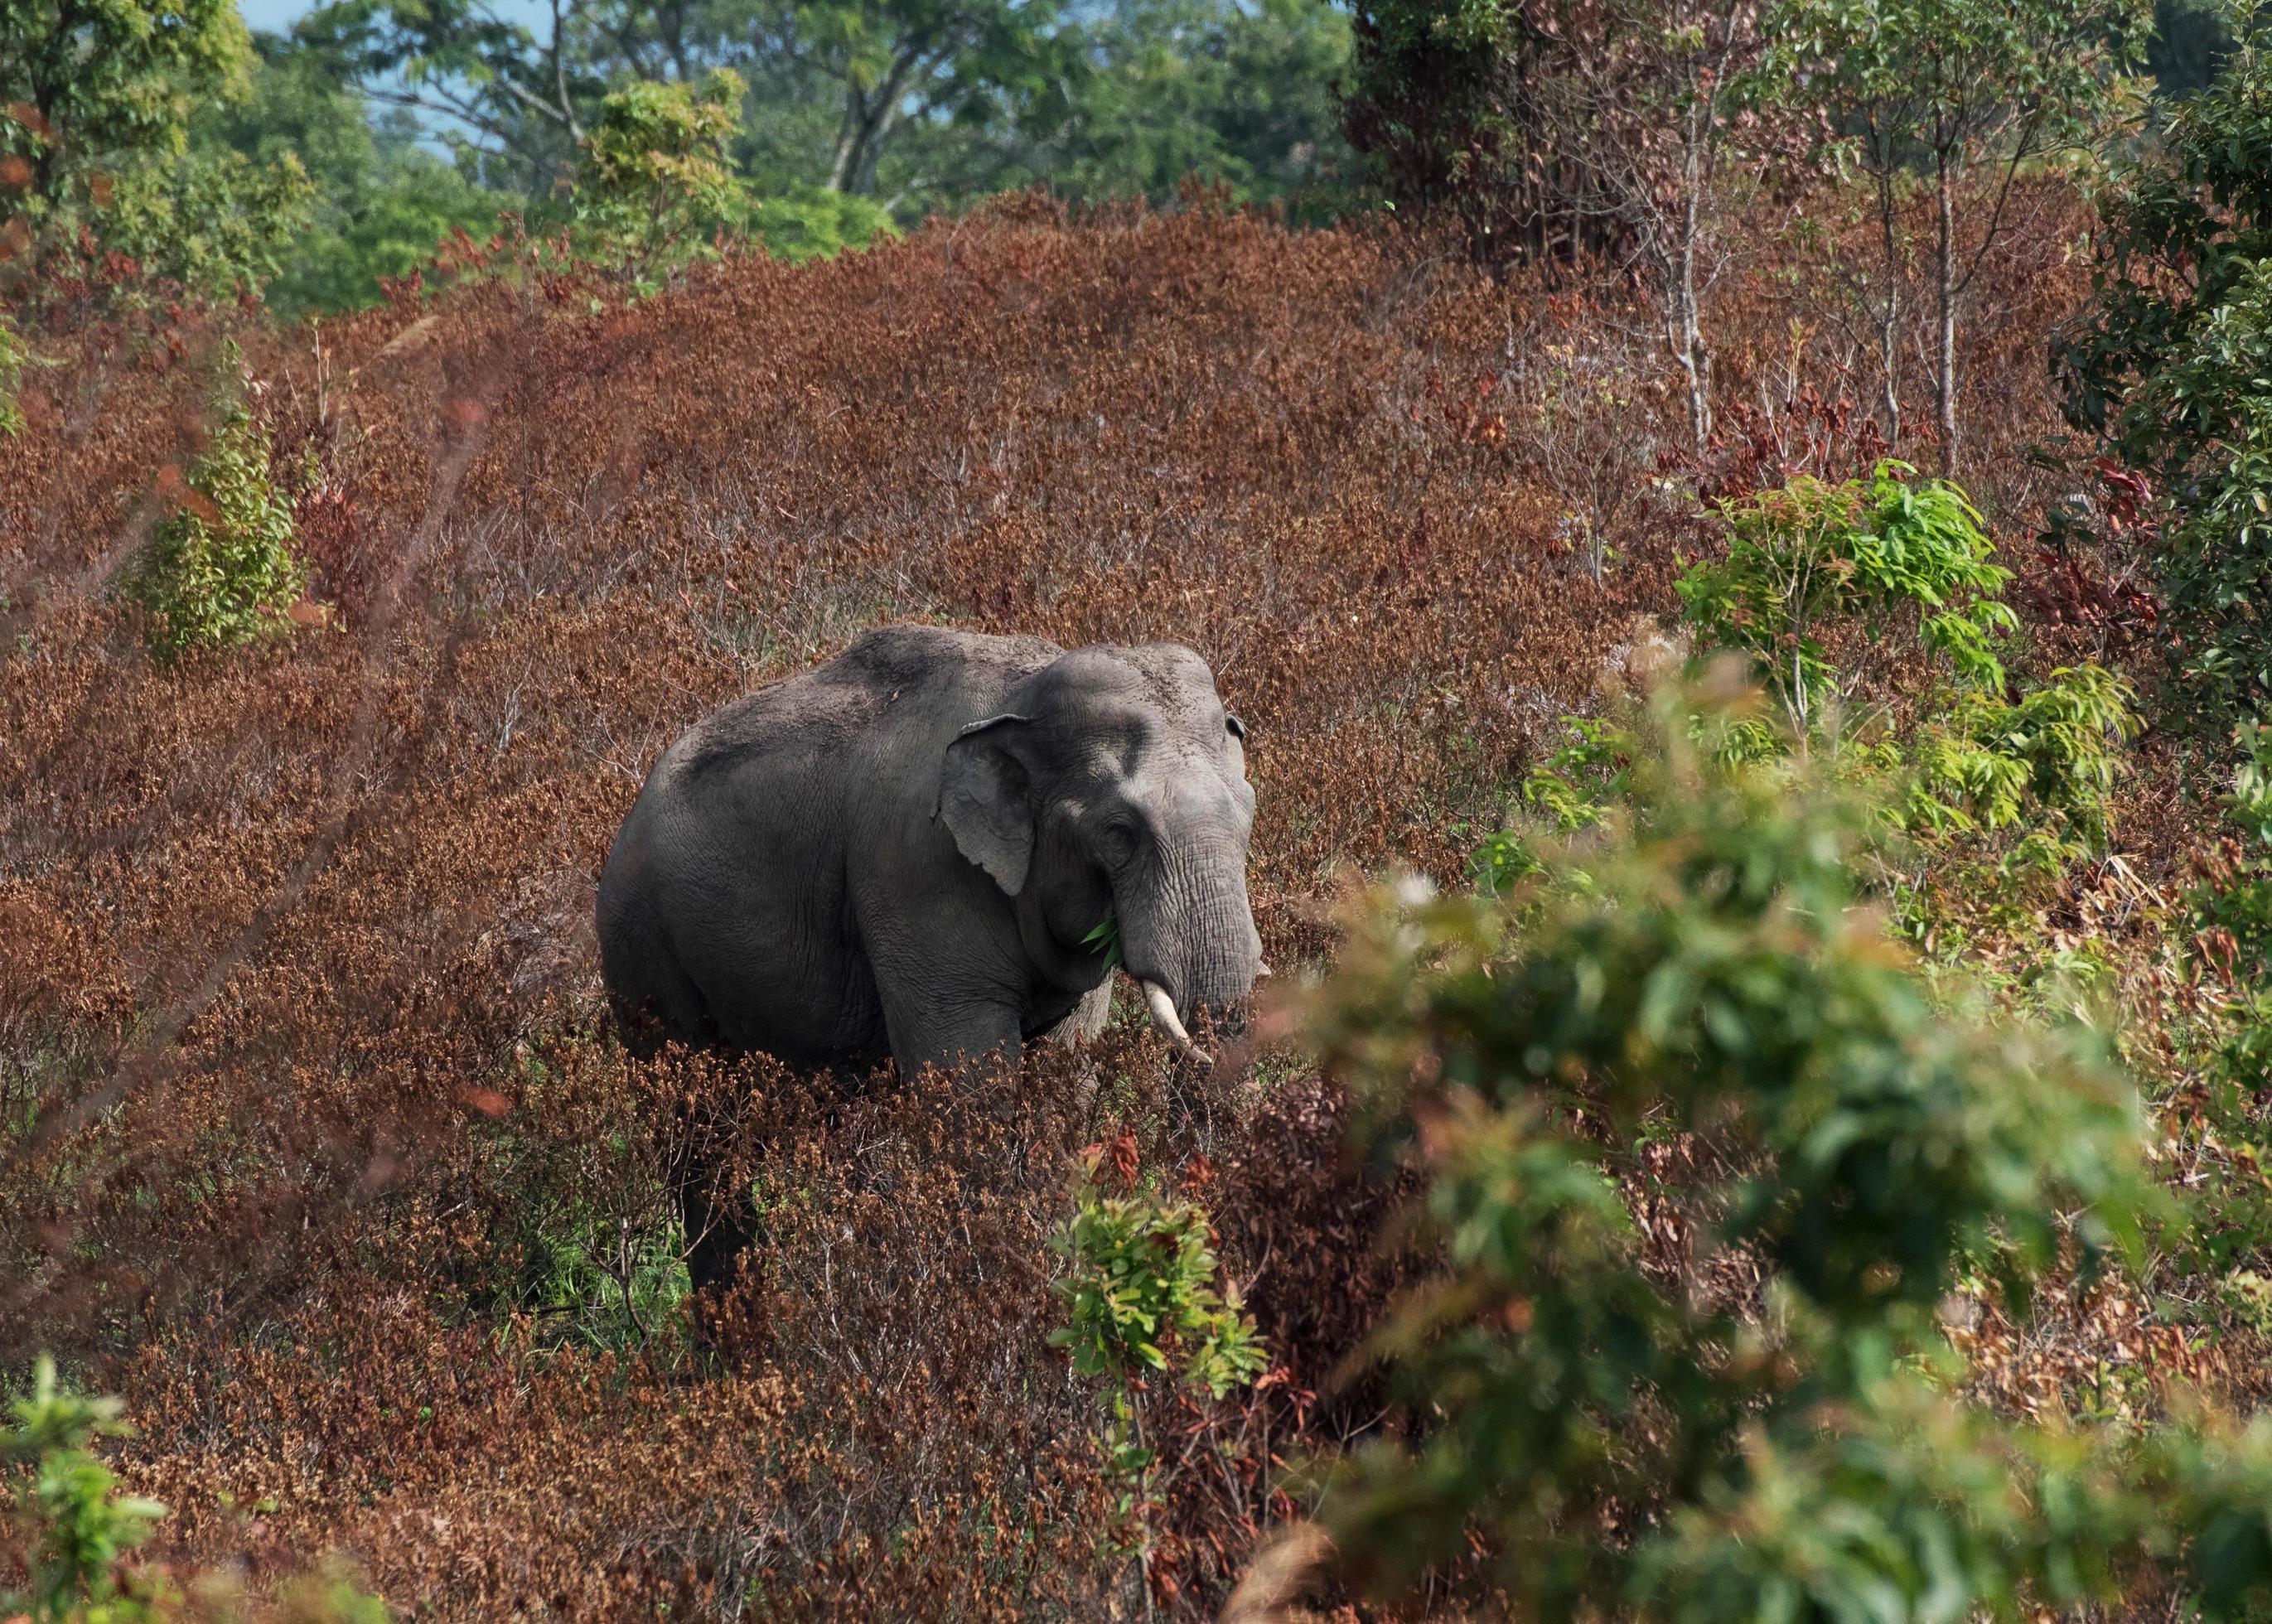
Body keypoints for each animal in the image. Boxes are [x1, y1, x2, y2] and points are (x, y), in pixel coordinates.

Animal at [595, 622, 1272, 1299]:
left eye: (1250, 811)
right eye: (1118, 833)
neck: (1023, 691)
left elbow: (1064, 1080)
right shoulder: (918, 875)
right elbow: (966, 1091)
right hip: (643, 956)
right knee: (700, 1137)